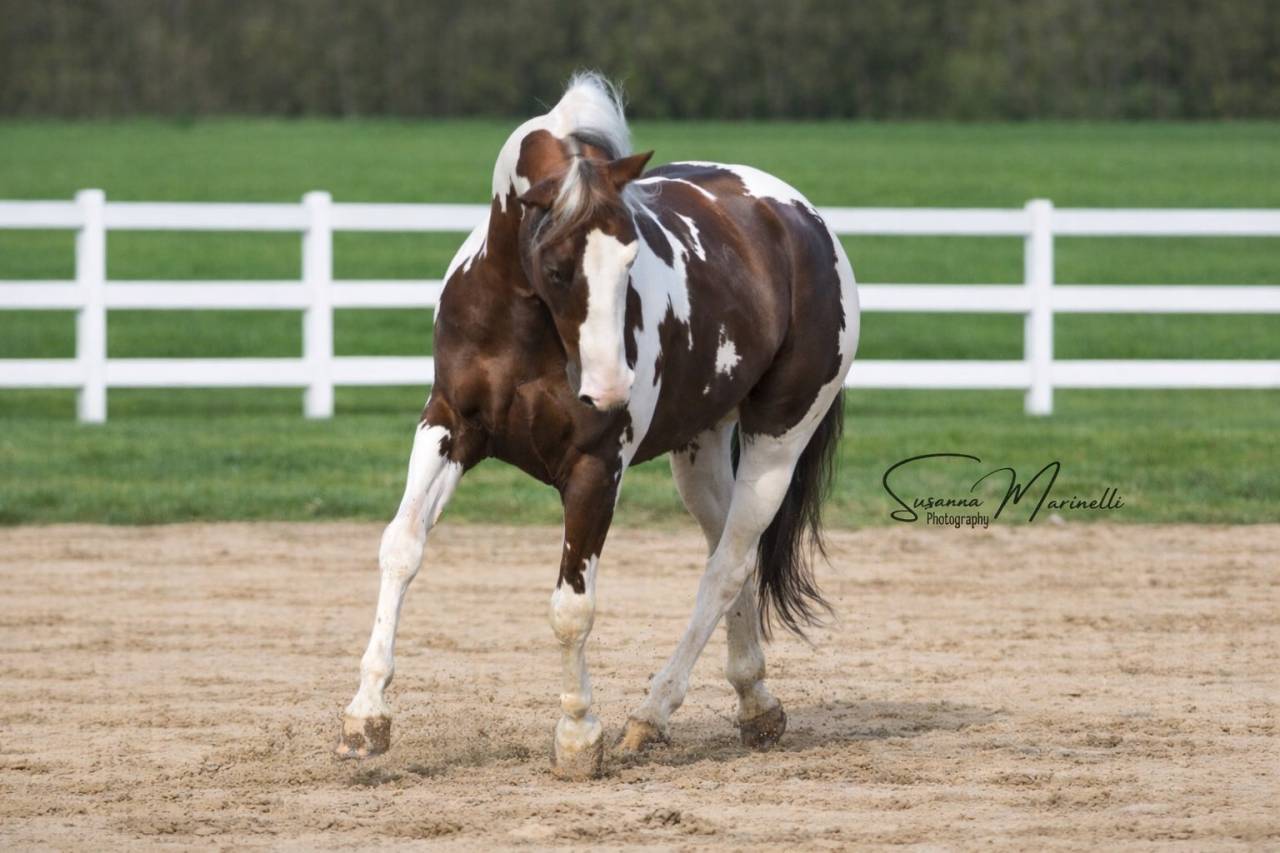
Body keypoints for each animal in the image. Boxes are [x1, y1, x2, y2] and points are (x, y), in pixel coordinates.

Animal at [335, 73, 859, 778]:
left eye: (633, 256)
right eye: (557, 266)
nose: (609, 390)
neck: (520, 327)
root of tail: (799, 217)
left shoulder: (595, 469)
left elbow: (571, 608)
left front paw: (579, 736)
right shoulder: (448, 429)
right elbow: (402, 549)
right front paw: (366, 718)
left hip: (779, 441)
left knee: (725, 567)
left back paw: (652, 714)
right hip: (700, 452)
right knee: (730, 556)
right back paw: (755, 702)